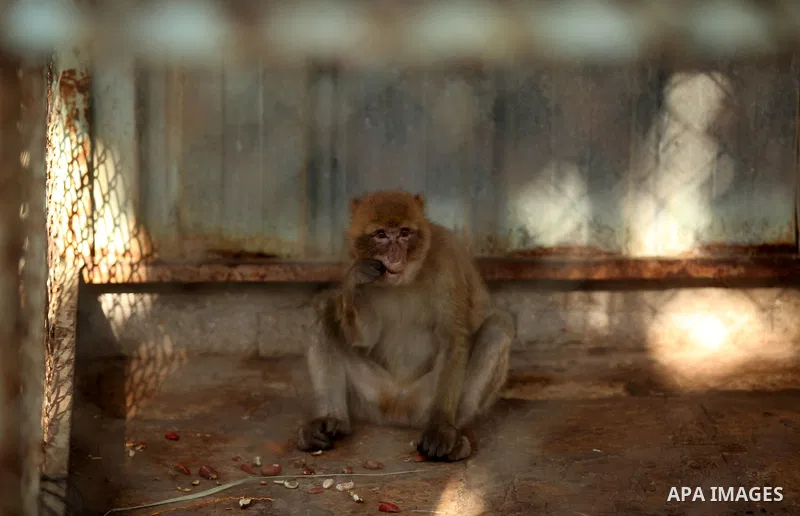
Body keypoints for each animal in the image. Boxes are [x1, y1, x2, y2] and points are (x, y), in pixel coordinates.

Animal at [296, 190, 514, 462]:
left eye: (404, 233)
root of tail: (398, 408)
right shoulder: (351, 260)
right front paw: (357, 280)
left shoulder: (446, 259)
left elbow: (452, 338)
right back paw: (332, 421)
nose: (394, 255)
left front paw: (442, 428)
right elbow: (364, 337)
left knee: (497, 327)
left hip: (423, 401)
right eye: (380, 235)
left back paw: (457, 434)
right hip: (372, 396)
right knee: (322, 306)